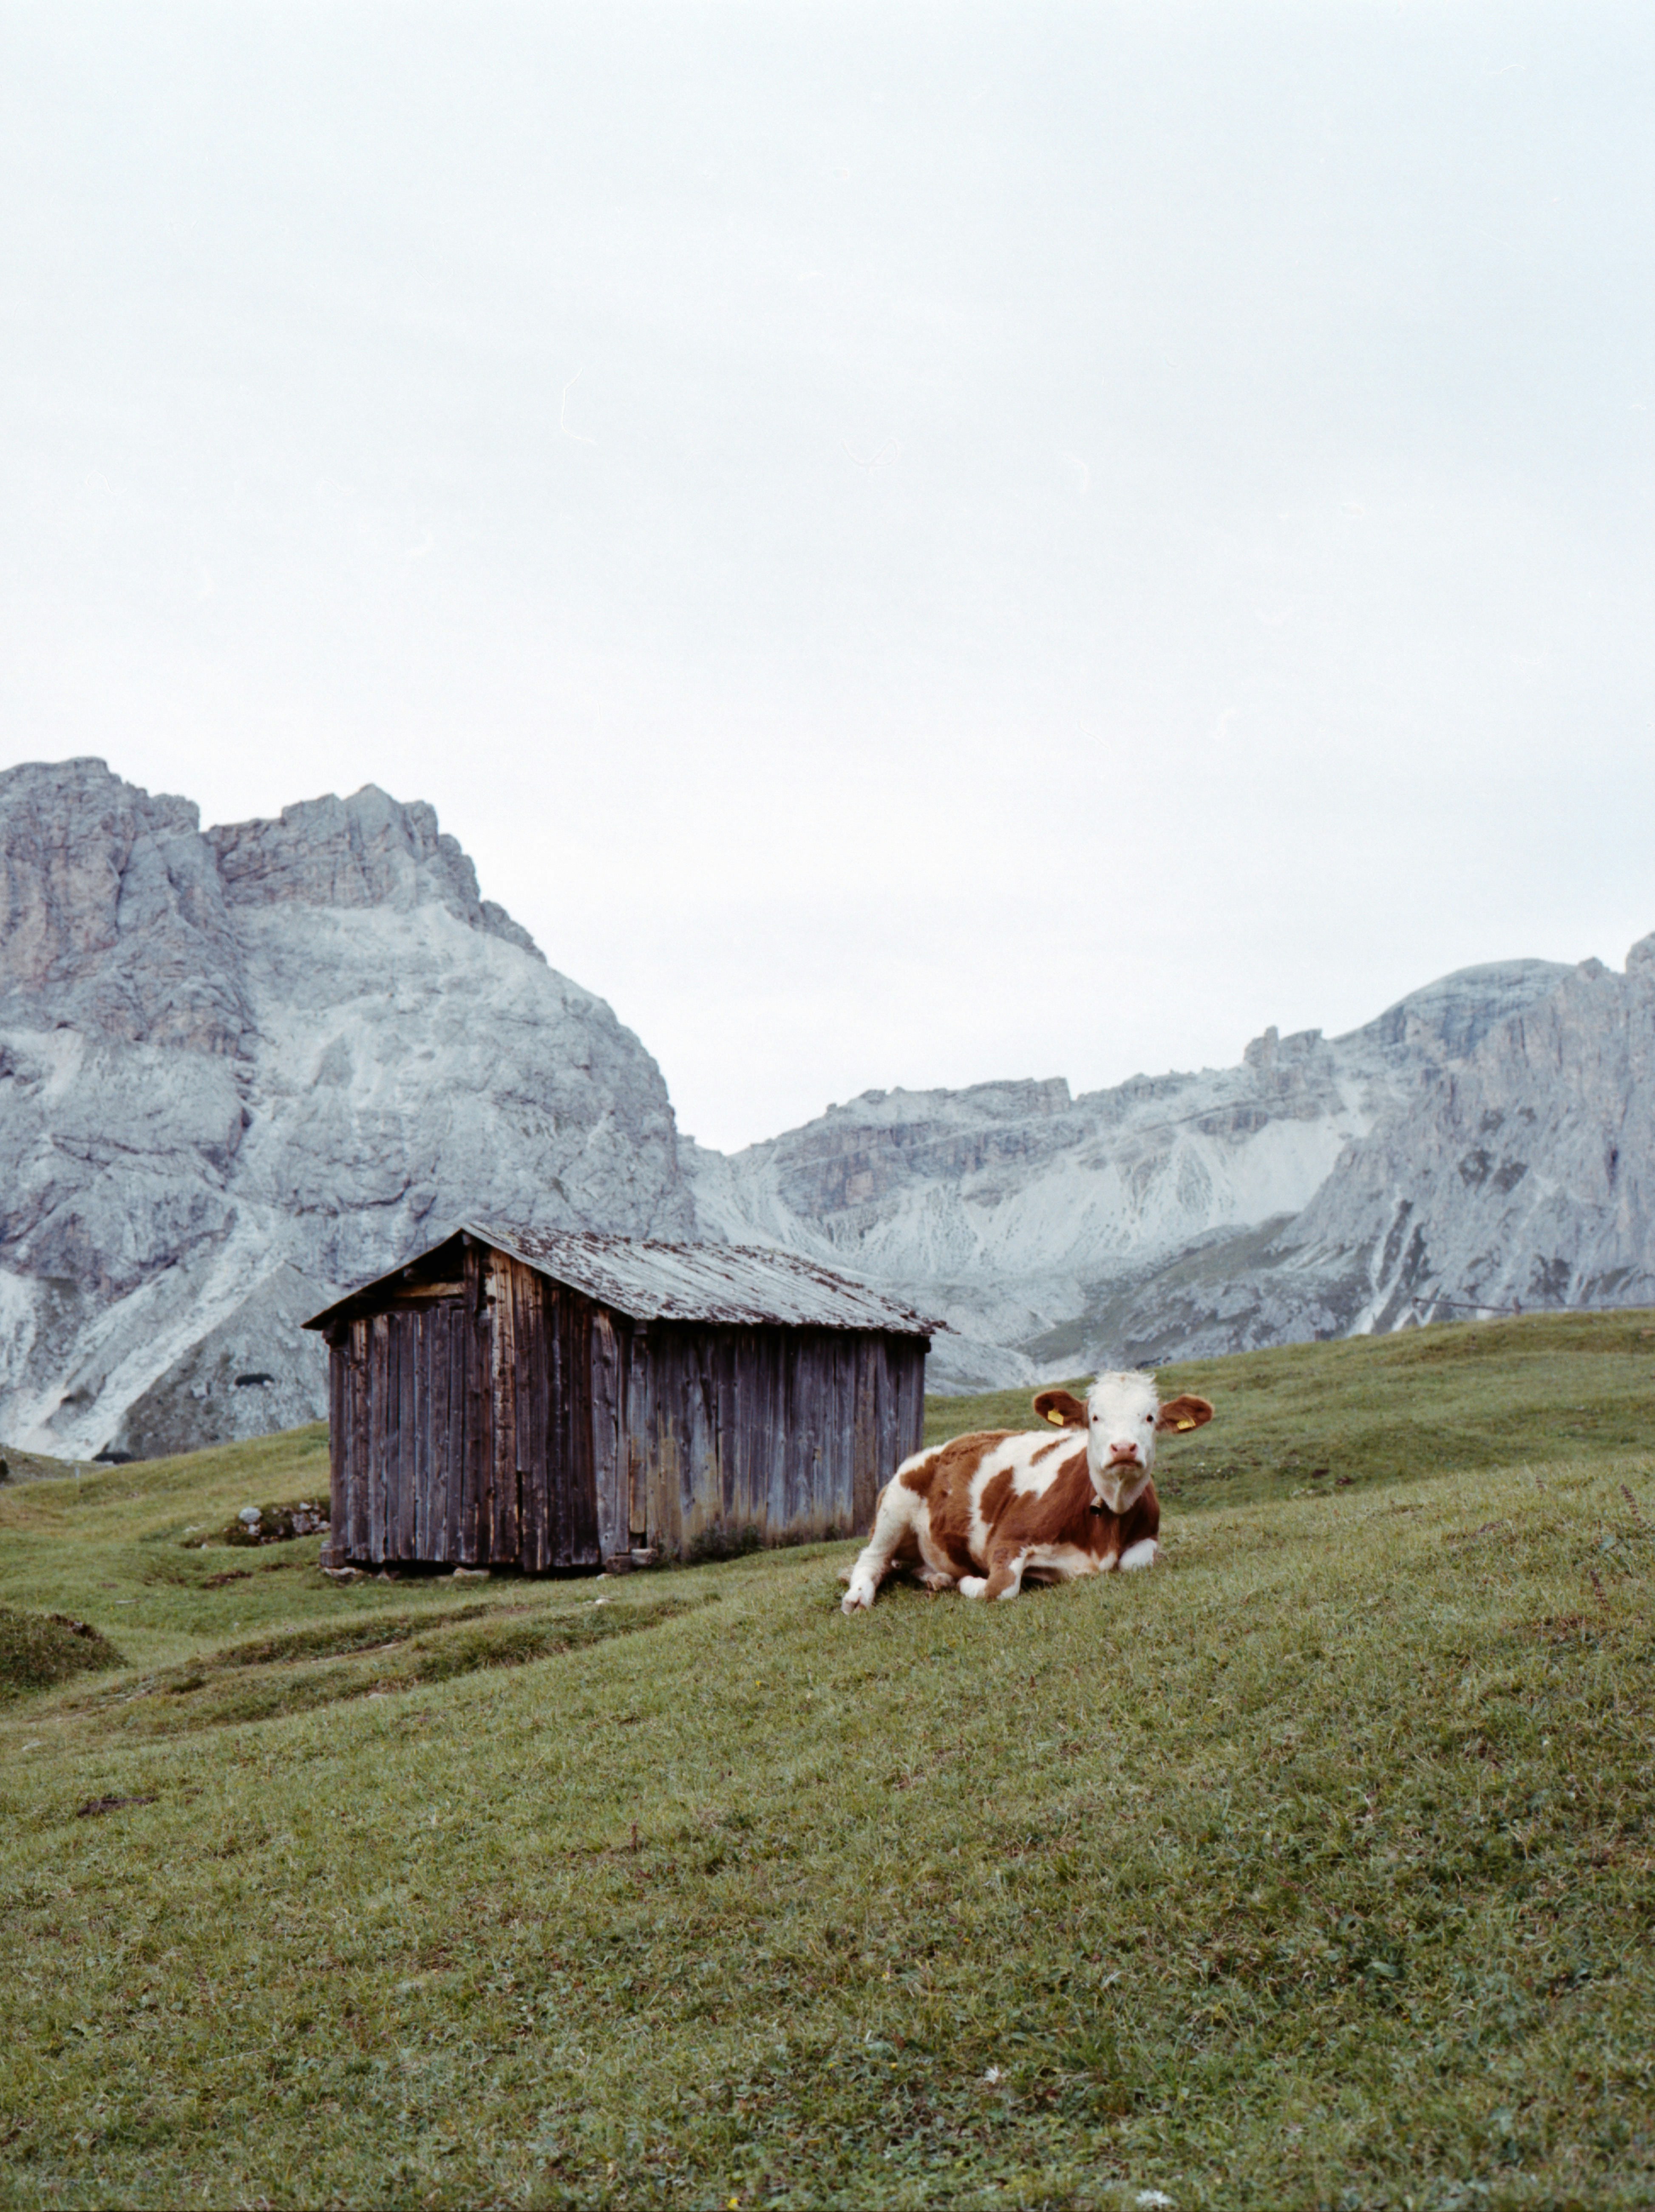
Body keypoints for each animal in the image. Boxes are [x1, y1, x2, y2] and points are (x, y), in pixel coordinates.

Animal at [839, 1370, 1214, 1613]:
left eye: (1149, 1418)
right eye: (1095, 1417)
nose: (1124, 1448)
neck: (1106, 1516)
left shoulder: (1148, 1535)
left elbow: (1133, 1563)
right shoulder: (1008, 1540)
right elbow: (1000, 1588)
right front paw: (971, 1583)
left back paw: (938, 1578)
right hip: (894, 1507)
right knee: (871, 1561)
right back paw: (858, 1597)